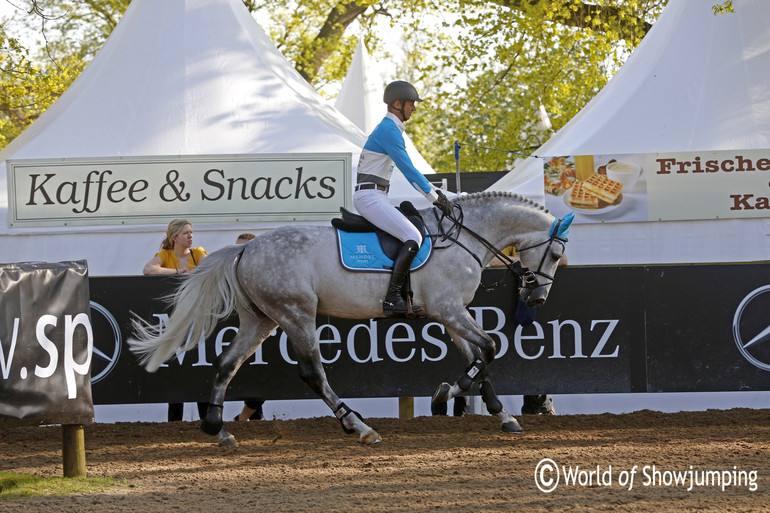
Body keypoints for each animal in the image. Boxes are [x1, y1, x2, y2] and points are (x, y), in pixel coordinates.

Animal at [127, 192, 568, 444]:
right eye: (557, 253)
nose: (538, 297)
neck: (463, 236)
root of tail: (245, 249)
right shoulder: (449, 309)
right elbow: (489, 349)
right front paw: (447, 393)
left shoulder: (450, 313)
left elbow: (480, 357)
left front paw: (501, 415)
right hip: (295, 314)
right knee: (313, 374)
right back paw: (359, 427)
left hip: (261, 321)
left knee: (226, 364)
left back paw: (218, 429)